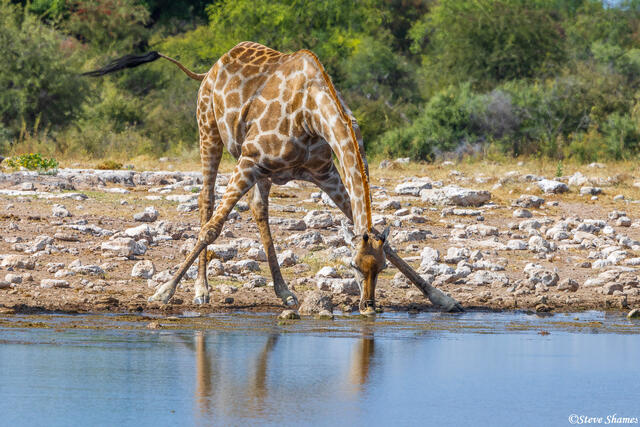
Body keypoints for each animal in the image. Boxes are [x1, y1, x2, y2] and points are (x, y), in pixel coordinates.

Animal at [86, 42, 390, 315]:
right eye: (352, 266)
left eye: (382, 267)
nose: (368, 306)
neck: (311, 113)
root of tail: (210, 69)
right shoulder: (250, 160)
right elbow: (211, 229)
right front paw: (163, 292)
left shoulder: (324, 172)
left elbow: (373, 231)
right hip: (209, 131)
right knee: (206, 200)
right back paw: (201, 291)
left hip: (263, 170)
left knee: (258, 209)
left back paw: (284, 293)